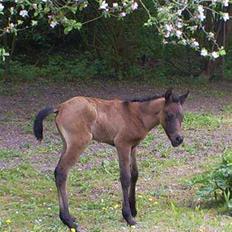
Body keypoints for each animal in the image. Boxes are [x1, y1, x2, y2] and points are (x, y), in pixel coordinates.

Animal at [33, 88, 188, 230]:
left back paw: (68, 218)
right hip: (79, 143)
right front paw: (128, 217)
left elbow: (135, 175)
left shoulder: (133, 147)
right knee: (62, 172)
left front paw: (133, 209)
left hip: (67, 144)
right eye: (169, 115)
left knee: (57, 172)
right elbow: (125, 178)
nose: (178, 139)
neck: (136, 115)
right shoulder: (122, 145)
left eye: (181, 116)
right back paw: (68, 221)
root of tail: (60, 107)